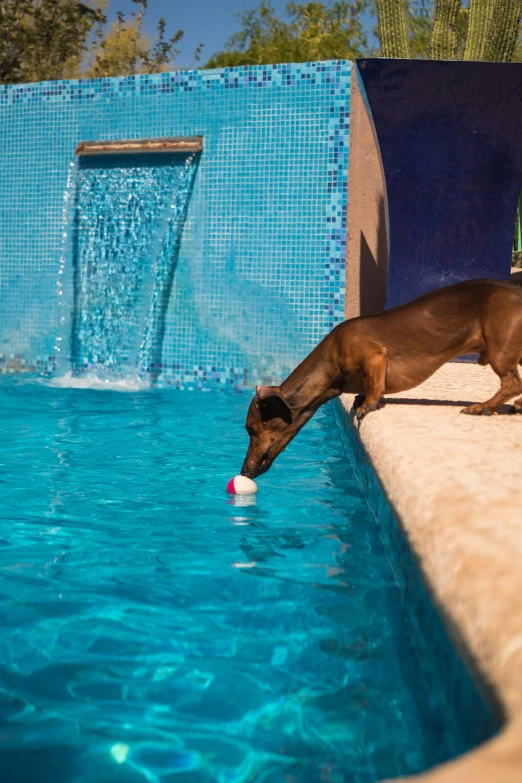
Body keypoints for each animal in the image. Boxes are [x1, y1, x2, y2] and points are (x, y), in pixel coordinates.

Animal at [240, 278, 520, 480]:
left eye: (251, 429)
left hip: (499, 350)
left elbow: (374, 385)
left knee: (512, 383)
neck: (330, 362)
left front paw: (368, 403)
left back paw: (484, 406)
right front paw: (360, 398)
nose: (243, 472)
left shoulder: (375, 355)